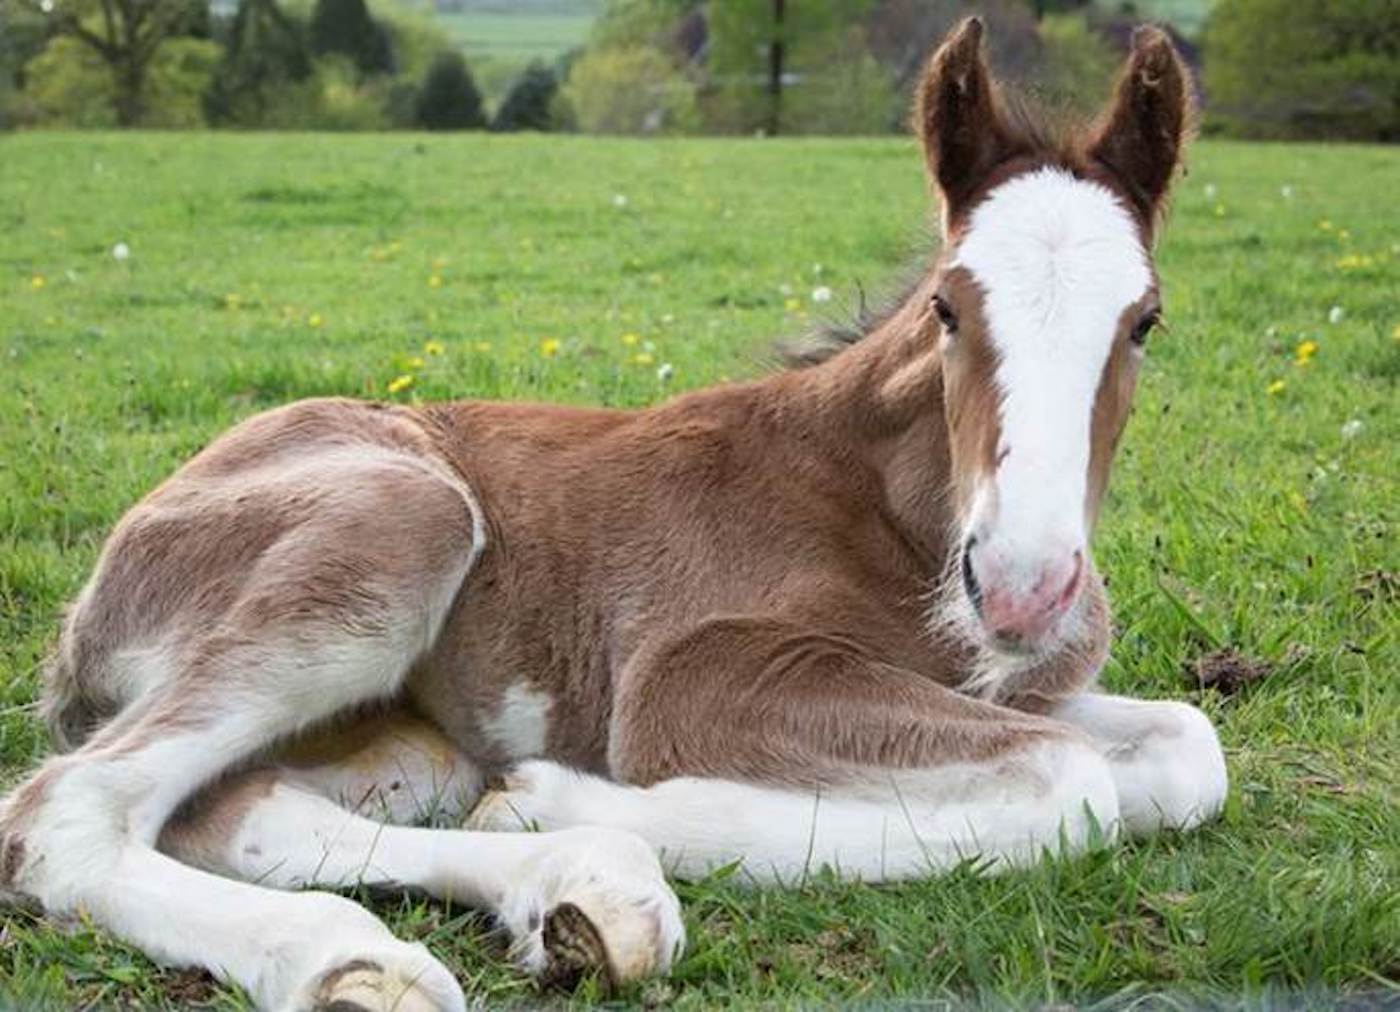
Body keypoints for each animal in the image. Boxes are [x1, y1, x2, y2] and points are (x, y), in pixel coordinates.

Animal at [0, 18, 1227, 1012]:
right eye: (945, 307)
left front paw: (548, 820)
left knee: (238, 806)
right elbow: (1069, 786)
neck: (887, 510)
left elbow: (1183, 751)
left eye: (1145, 320)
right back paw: (358, 955)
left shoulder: (1012, 686)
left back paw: (575, 898)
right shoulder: (697, 674)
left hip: (401, 743)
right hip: (398, 521)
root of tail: (85, 610)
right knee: (65, 809)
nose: (1024, 591)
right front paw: (567, 798)